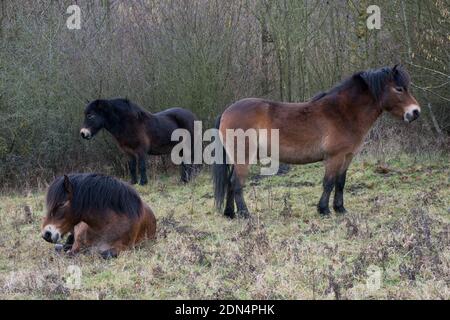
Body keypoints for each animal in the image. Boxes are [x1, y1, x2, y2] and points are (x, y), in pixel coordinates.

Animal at [213, 66, 420, 219]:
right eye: (399, 88)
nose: (415, 112)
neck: (343, 112)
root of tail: (226, 111)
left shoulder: (347, 157)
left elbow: (340, 182)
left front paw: (340, 209)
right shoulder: (334, 157)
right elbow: (328, 182)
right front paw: (324, 210)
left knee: (230, 183)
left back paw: (230, 213)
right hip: (243, 158)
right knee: (236, 183)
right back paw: (245, 214)